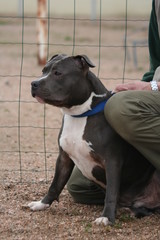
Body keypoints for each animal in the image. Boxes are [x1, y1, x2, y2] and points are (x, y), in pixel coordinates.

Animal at [28, 54, 160, 225]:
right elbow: (55, 184)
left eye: (58, 73)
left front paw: (107, 217)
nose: (34, 83)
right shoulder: (63, 158)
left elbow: (111, 192)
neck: (80, 114)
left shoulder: (112, 161)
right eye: (43, 71)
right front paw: (42, 204)